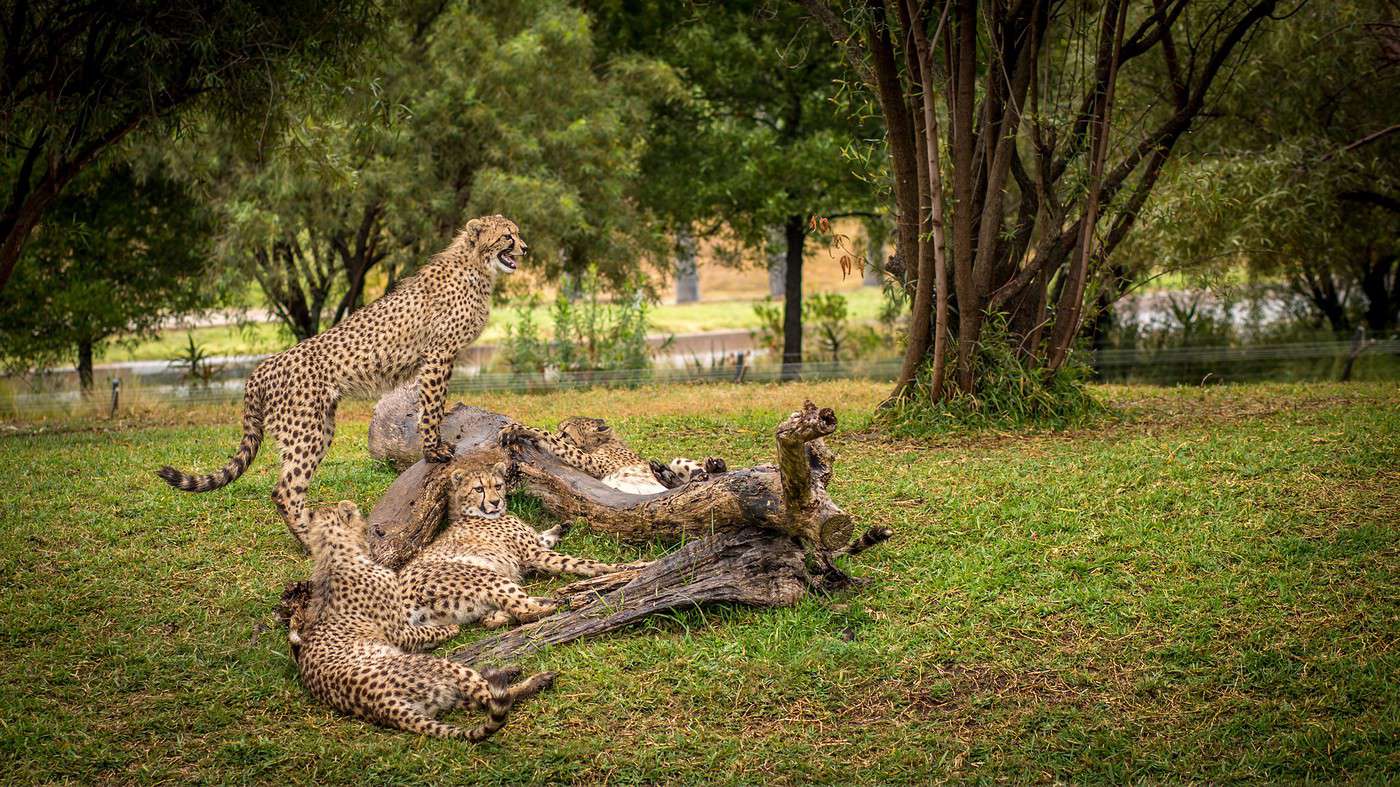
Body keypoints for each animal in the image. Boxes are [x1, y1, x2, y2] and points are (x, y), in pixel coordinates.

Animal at [154, 211, 526, 548]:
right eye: (508, 235)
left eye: (517, 233)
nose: (524, 247)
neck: (477, 265)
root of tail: (261, 367)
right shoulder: (438, 355)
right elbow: (432, 405)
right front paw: (434, 450)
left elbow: (427, 405)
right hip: (306, 431)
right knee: (285, 490)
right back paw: (310, 542)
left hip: (320, 427)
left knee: (286, 487)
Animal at [287, 498, 554, 739]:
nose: (369, 532)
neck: (333, 557)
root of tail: (384, 706)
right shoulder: (399, 632)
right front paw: (450, 629)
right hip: (444, 650)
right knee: (494, 691)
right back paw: (537, 673)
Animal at [397, 459, 641, 624]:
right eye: (478, 489)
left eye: (497, 486)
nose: (495, 502)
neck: (475, 513)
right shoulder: (534, 553)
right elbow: (583, 563)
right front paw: (626, 567)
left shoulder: (532, 548)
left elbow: (544, 537)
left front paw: (562, 527)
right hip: (482, 576)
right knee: (524, 611)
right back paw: (562, 602)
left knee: (494, 617)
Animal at [501, 414, 722, 492]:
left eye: (565, 432)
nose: (560, 432)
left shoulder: (590, 462)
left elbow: (552, 439)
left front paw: (520, 429)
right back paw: (665, 475)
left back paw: (714, 466)